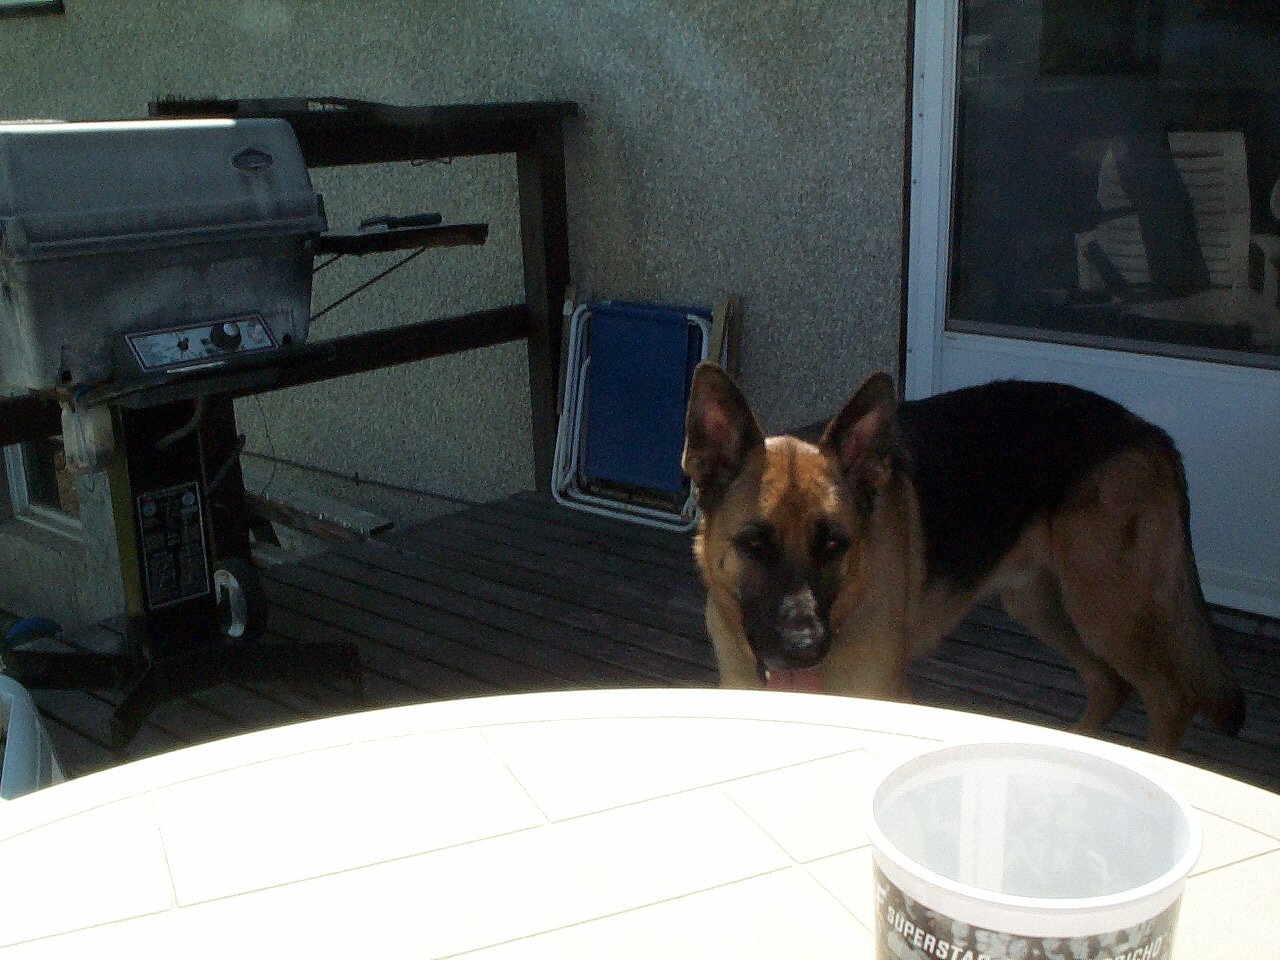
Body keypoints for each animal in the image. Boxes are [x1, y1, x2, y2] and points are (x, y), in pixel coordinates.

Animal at [681, 362, 1245, 753]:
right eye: (755, 544)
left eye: (835, 544)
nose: (805, 649)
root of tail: (1149, 432)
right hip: (1043, 604)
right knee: (1109, 684)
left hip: (1106, 608)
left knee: (1170, 697)